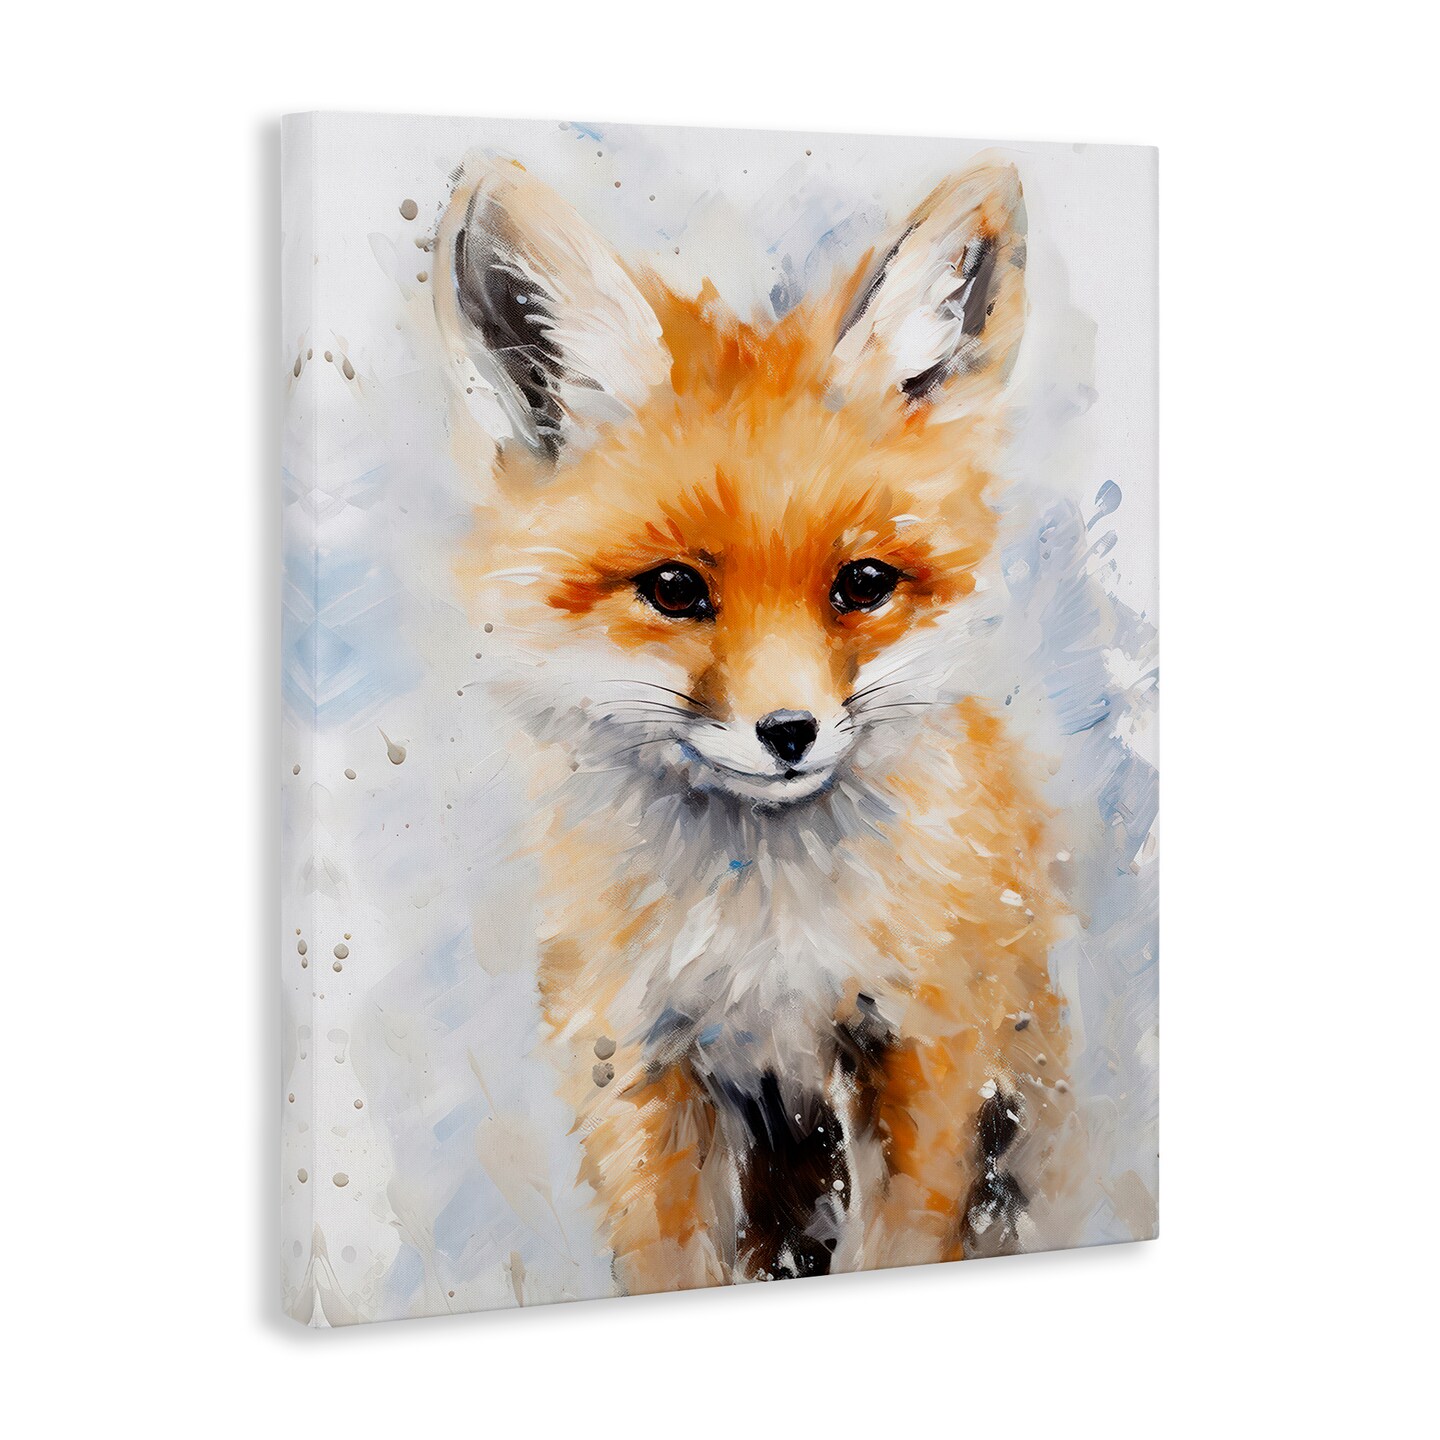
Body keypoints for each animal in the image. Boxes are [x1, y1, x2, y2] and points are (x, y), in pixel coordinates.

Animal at [435, 152, 1076, 1295]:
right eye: (674, 589)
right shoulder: (635, 1068)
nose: (791, 733)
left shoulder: (923, 1048)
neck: (766, 940)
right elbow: (668, 1264)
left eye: (863, 583)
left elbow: (902, 1244)